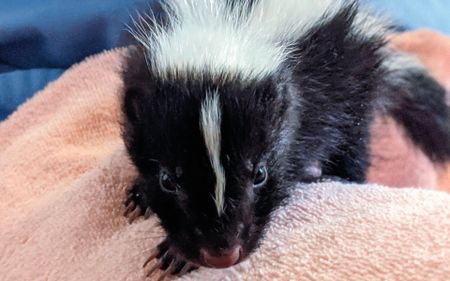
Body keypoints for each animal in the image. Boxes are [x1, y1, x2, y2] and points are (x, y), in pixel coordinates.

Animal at [119, 0, 450, 276]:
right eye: (167, 180)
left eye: (259, 174)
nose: (221, 254)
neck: (226, 31)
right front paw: (140, 195)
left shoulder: (304, 96)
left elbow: (293, 156)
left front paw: (175, 255)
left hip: (354, 83)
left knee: (353, 142)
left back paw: (340, 176)